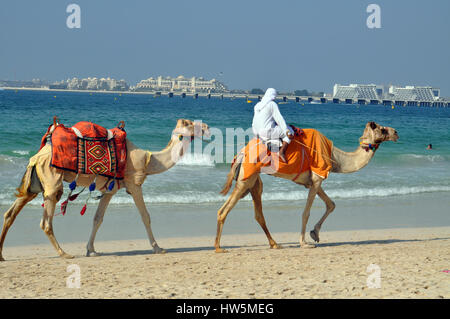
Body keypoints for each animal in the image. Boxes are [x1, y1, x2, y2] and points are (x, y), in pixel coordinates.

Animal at [0, 119, 211, 262]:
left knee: (10, 214)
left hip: (34, 184)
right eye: (191, 123)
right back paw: (64, 253)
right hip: (52, 179)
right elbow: (146, 216)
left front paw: (91, 250)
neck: (148, 160)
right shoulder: (134, 184)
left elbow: (97, 219)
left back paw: (2, 255)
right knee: (46, 221)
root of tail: (37, 156)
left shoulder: (110, 190)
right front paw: (158, 248)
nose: (208, 128)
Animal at [216, 122, 400, 252]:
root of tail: (241, 154)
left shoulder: (314, 180)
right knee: (225, 211)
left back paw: (274, 244)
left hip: (253, 180)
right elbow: (306, 212)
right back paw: (219, 248)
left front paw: (315, 234)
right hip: (246, 177)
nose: (396, 132)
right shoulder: (317, 178)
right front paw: (304, 243)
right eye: (382, 129)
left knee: (256, 213)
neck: (335, 157)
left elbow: (331, 204)